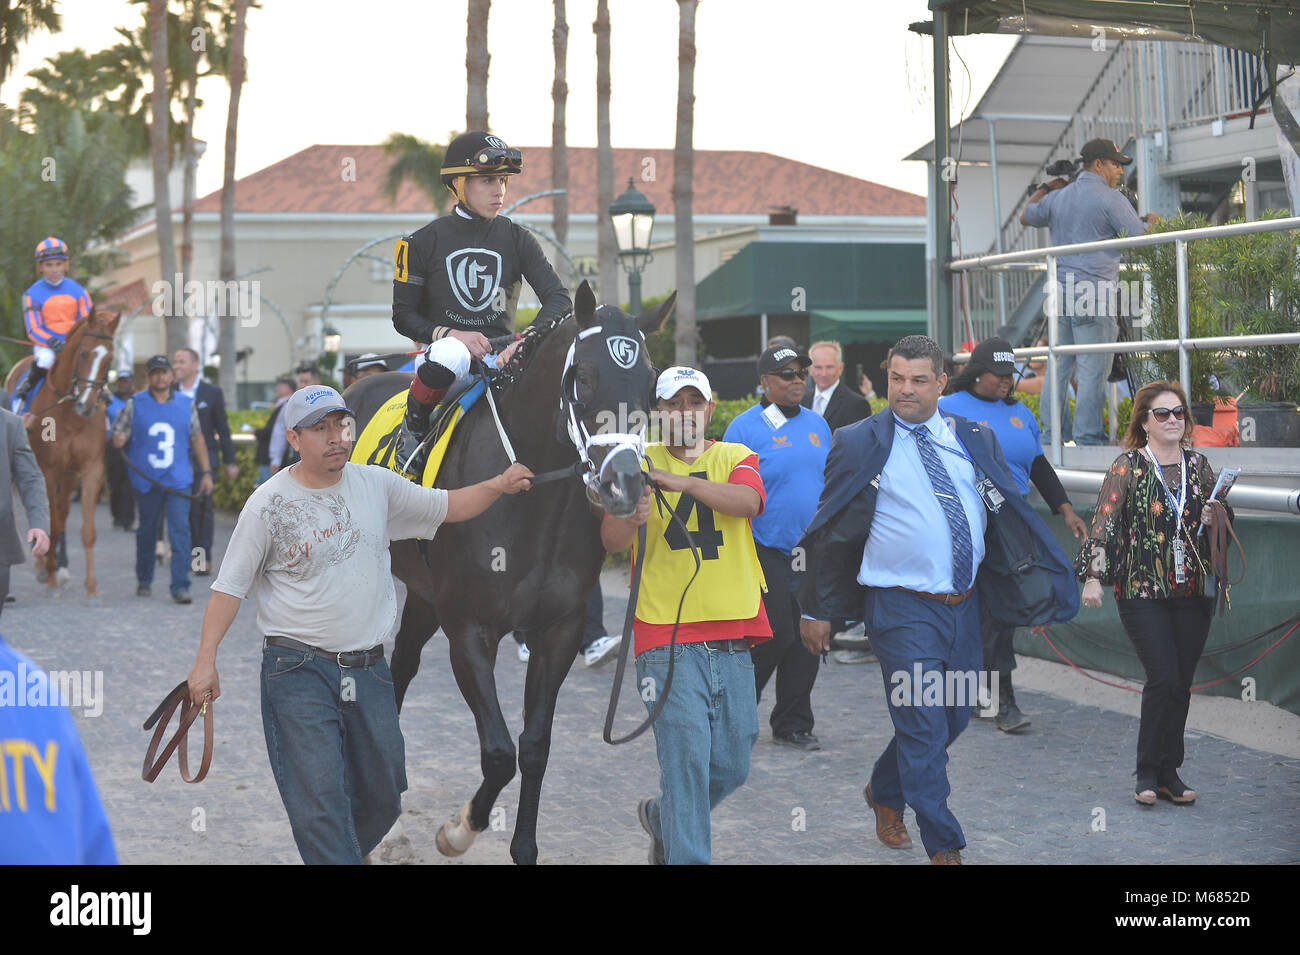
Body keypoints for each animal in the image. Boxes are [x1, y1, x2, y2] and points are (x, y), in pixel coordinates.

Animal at [3, 310, 119, 600]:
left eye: (109, 359)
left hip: (68, 475)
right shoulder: (48, 470)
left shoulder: (90, 469)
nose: (87, 405)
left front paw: (91, 587)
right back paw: (45, 567)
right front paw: (49, 575)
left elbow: (86, 530)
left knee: (63, 511)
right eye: (83, 353)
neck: (70, 414)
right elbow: (51, 522)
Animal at [348, 283, 670, 867]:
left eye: (651, 381)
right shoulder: (470, 629)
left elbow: (535, 746)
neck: (530, 496)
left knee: (402, 667)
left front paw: (523, 846)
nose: (625, 485)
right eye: (585, 375)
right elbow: (498, 753)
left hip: (425, 596)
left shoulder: (558, 630)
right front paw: (457, 831)